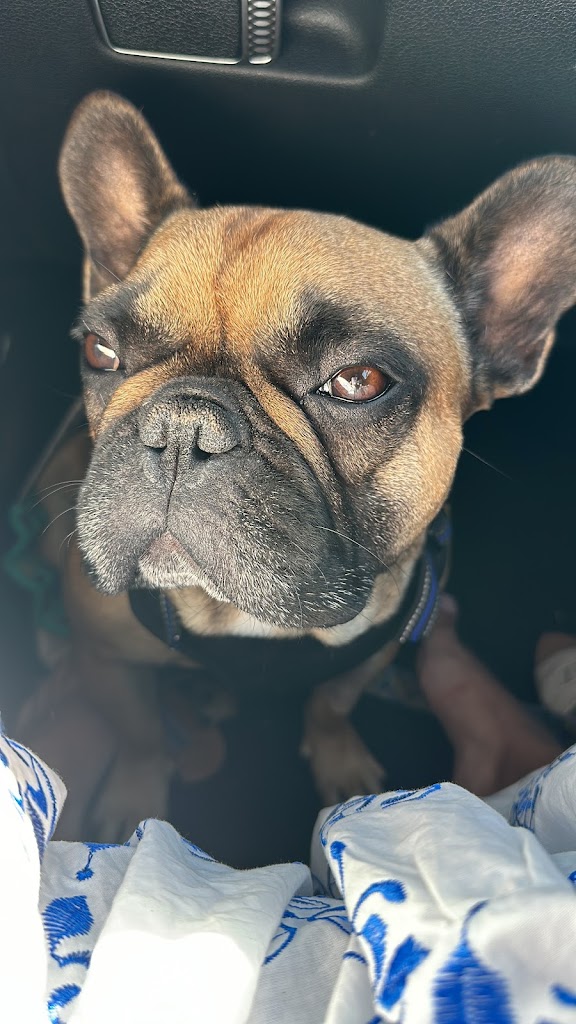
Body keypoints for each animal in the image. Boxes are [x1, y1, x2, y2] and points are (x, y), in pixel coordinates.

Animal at [20, 90, 576, 841]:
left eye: (358, 381)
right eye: (99, 351)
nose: (182, 426)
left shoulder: (372, 648)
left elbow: (331, 703)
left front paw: (339, 762)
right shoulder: (110, 660)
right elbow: (139, 734)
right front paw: (134, 800)